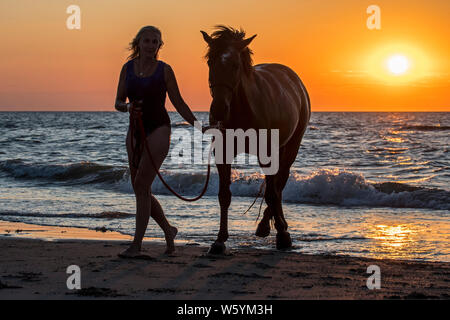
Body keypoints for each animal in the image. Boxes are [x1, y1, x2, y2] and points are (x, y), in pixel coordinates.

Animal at [200, 25, 310, 254]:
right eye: (210, 62)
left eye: (235, 65)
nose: (219, 109)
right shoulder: (222, 153)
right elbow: (224, 195)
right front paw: (219, 240)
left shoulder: (267, 152)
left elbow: (271, 193)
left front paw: (283, 236)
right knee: (276, 185)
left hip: (291, 146)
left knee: (279, 183)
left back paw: (274, 226)